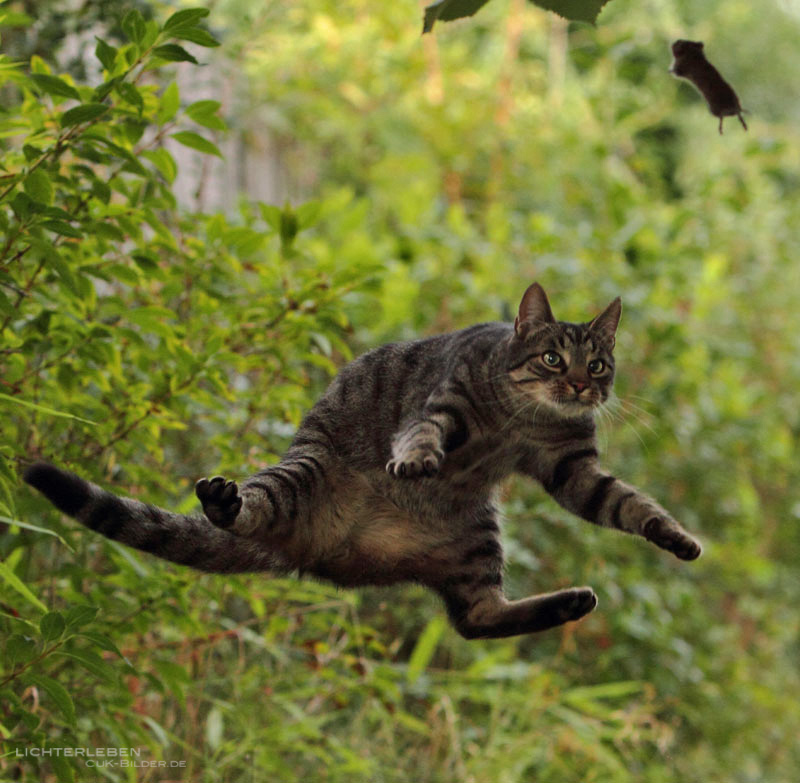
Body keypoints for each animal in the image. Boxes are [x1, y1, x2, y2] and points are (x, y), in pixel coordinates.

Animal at [23, 284, 700, 640]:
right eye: (554, 358)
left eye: (599, 364)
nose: (582, 386)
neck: (526, 417)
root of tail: (336, 556)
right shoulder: (444, 404)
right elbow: (423, 434)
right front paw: (417, 461)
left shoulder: (572, 466)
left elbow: (626, 503)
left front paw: (674, 536)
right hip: (302, 475)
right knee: (247, 506)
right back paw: (223, 500)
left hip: (477, 538)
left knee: (475, 618)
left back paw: (570, 604)